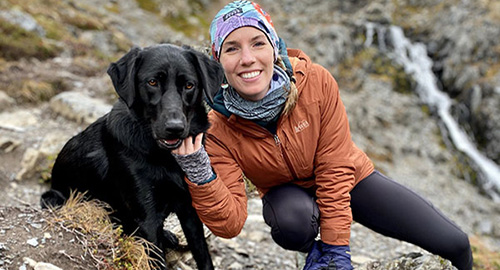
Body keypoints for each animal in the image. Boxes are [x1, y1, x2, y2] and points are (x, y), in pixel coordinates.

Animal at [41, 43, 223, 268]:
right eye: (152, 82)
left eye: (189, 85)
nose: (175, 128)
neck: (163, 156)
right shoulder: (147, 217)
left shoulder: (189, 208)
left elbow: (203, 256)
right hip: (53, 198)